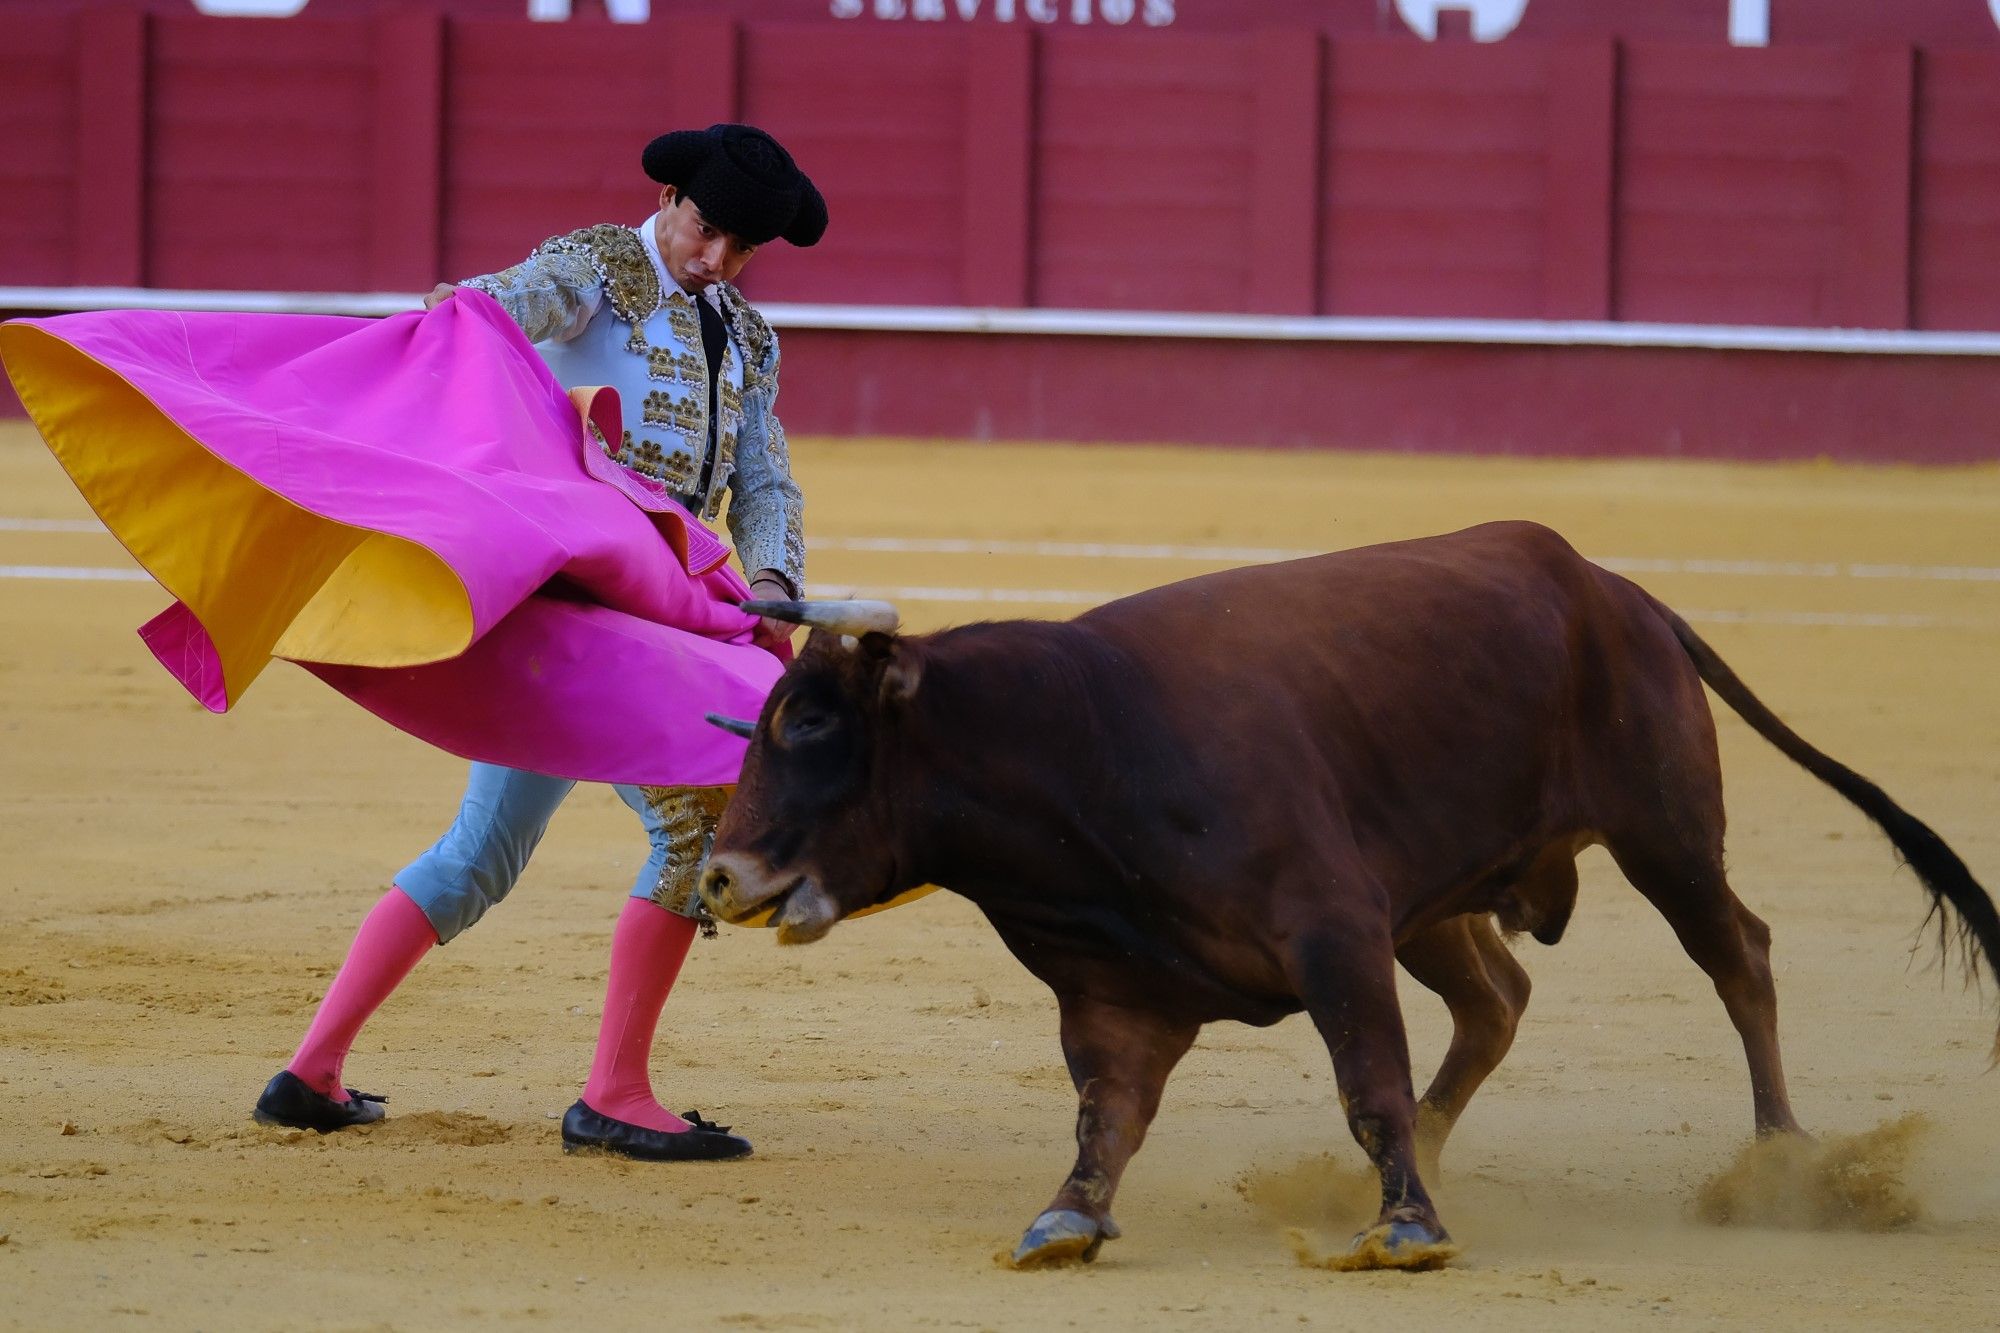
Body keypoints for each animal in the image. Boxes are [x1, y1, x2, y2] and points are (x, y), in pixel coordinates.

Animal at [696, 520, 1992, 1264]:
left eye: (809, 722)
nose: (716, 873)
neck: (1080, 745)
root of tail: (1616, 591)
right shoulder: (1116, 989)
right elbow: (1105, 1114)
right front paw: (1066, 1217)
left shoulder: (1333, 932)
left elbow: (1364, 1079)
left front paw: (1405, 1226)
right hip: (1441, 902)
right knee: (1497, 1000)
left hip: (1663, 831)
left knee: (1739, 957)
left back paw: (1780, 1161)